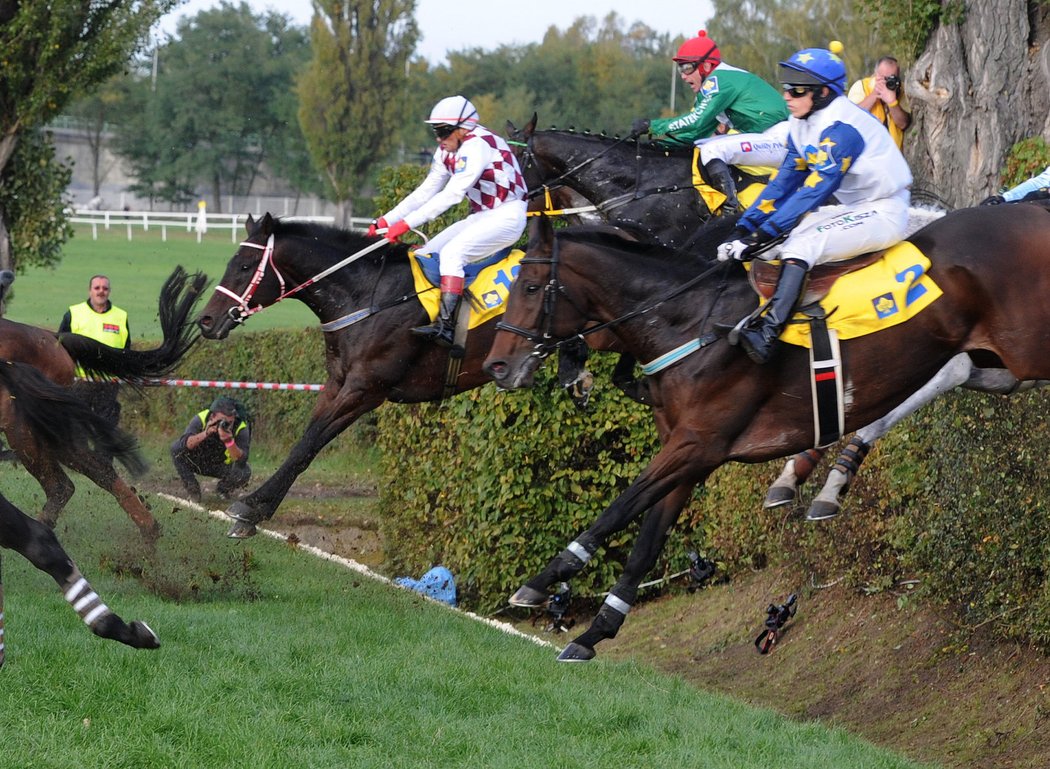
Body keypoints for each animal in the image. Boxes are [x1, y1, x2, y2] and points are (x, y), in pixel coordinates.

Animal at [485, 203, 1050, 659]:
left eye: (530, 287)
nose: (496, 366)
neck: (690, 324)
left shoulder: (697, 443)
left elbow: (621, 507)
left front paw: (542, 581)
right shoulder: (692, 454)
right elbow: (646, 541)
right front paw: (595, 632)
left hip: (1026, 350)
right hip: (996, 365)